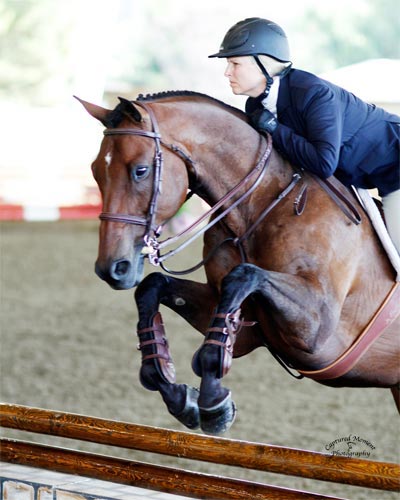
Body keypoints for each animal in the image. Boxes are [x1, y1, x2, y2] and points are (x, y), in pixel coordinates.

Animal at [77, 92, 400, 436]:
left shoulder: (317, 331)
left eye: (140, 170)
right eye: (96, 171)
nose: (112, 268)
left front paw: (213, 402)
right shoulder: (242, 325)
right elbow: (153, 286)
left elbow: (242, 276)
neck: (261, 206)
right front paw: (174, 388)